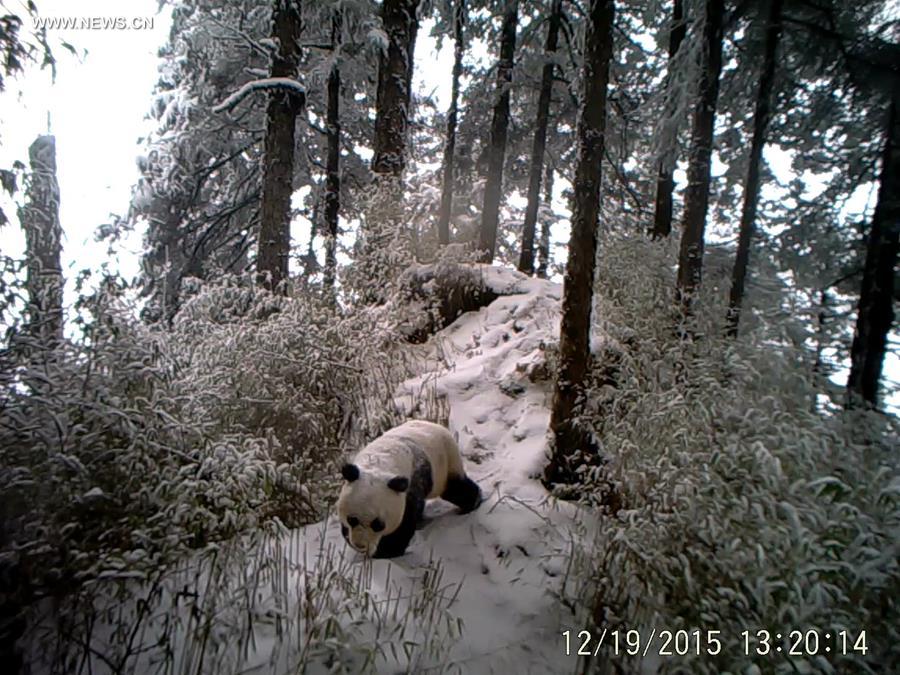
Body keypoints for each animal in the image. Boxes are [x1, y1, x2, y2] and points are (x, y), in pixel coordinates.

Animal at [338, 422, 482, 560]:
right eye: (352, 519)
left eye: (378, 525)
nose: (360, 545)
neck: (379, 465)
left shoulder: (412, 482)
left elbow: (404, 523)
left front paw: (386, 552)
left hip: (445, 460)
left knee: (455, 489)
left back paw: (472, 503)